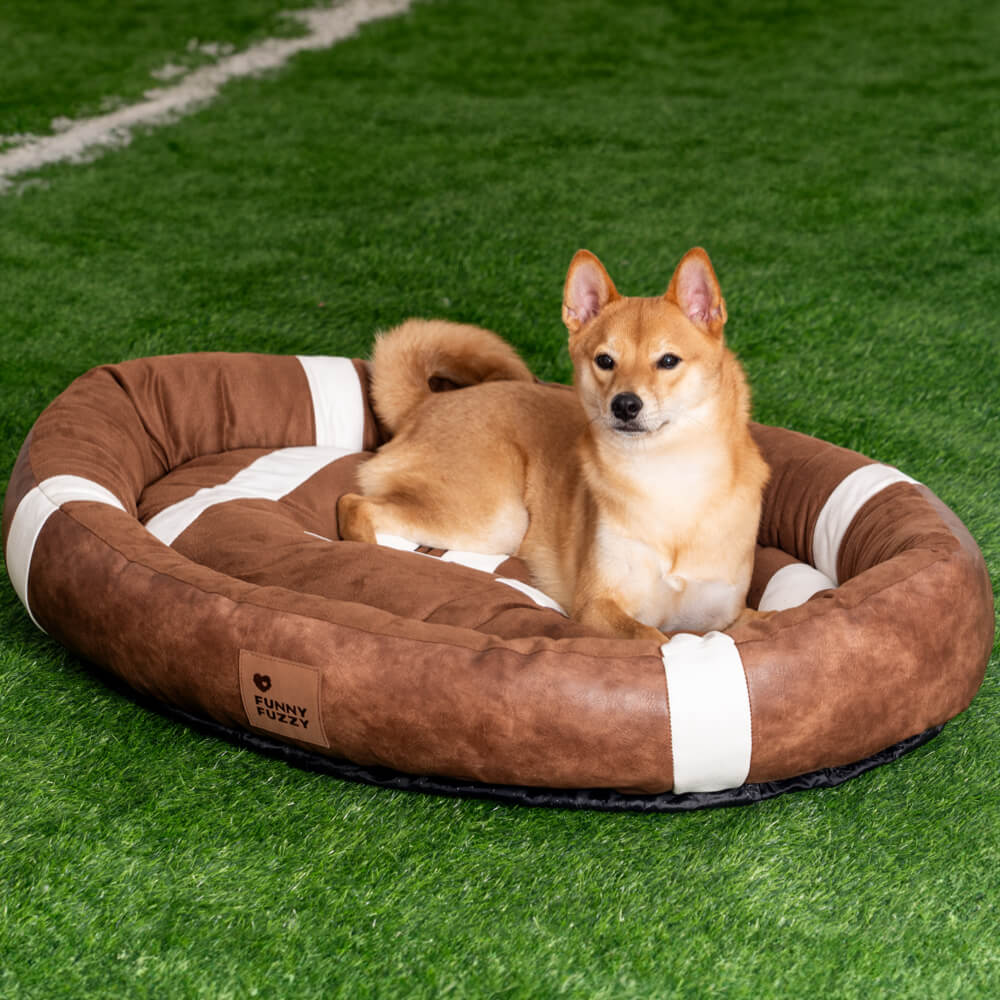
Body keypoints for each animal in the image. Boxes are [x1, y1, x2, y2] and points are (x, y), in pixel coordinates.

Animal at [340, 249, 768, 640]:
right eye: (605, 360)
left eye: (667, 360)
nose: (625, 404)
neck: (666, 476)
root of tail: (428, 403)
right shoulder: (596, 605)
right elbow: (651, 637)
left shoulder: (722, 615)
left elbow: (748, 622)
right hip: (498, 519)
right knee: (353, 504)